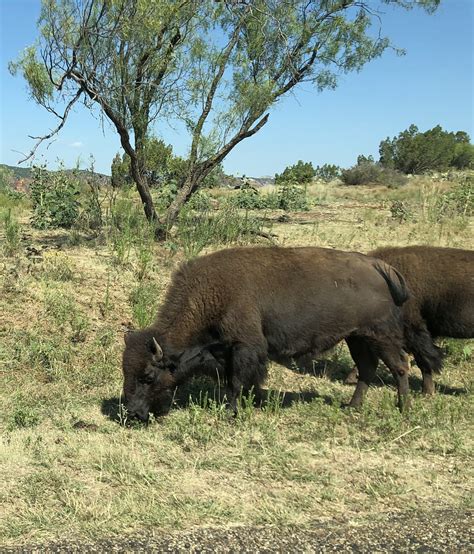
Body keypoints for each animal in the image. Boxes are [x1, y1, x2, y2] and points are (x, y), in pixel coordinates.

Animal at [123, 246, 412, 418]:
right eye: (125, 371)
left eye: (148, 376)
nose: (132, 413)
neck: (212, 294)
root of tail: (376, 265)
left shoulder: (245, 348)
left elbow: (236, 382)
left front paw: (232, 412)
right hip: (356, 337)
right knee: (367, 369)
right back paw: (352, 406)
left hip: (380, 336)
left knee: (399, 366)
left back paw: (404, 409)